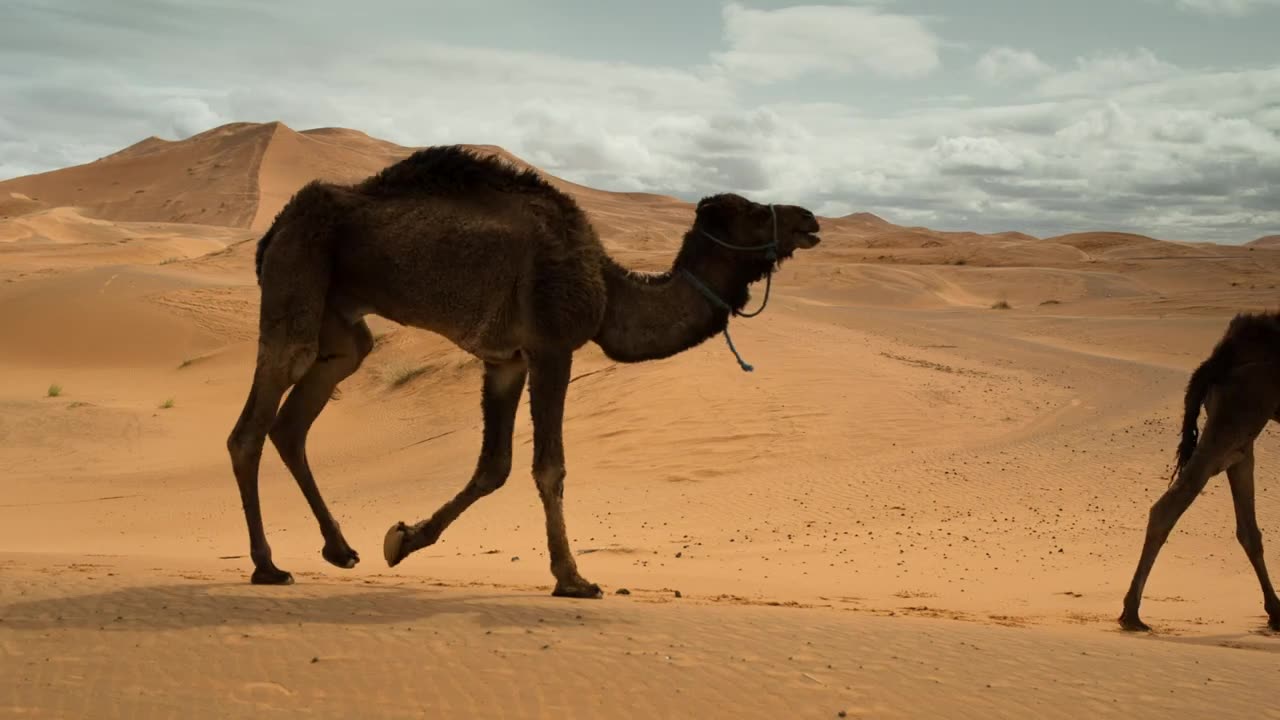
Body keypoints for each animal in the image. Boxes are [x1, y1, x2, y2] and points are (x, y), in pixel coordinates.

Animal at [225, 144, 819, 594]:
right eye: (751, 212)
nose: (809, 219)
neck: (610, 289)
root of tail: (273, 230)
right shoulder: (552, 346)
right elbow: (548, 467)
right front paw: (573, 578)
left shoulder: (505, 361)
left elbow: (495, 467)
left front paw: (403, 539)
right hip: (297, 276)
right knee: (252, 426)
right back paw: (267, 565)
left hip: (343, 329)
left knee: (295, 420)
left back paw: (340, 549)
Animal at [1126, 308, 1280, 627]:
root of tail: (1221, 356)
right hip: (1238, 414)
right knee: (1171, 503)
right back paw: (1131, 613)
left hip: (1238, 428)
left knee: (1247, 526)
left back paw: (1276, 610)